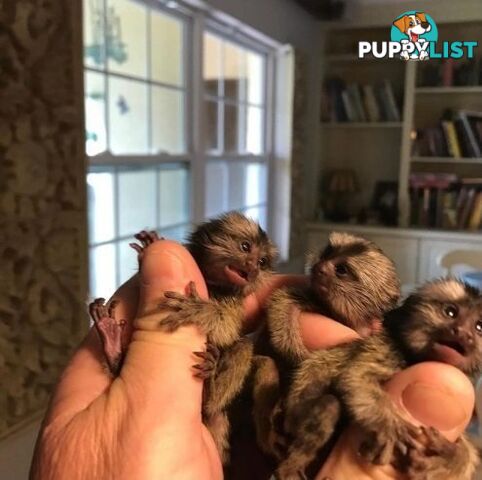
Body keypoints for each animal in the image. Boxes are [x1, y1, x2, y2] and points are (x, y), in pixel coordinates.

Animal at [278, 278, 482, 480]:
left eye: (478, 327)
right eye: (450, 312)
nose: (463, 333)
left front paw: (451, 460)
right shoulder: (386, 347)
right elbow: (356, 377)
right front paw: (389, 425)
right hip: (293, 418)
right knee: (329, 406)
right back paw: (289, 469)